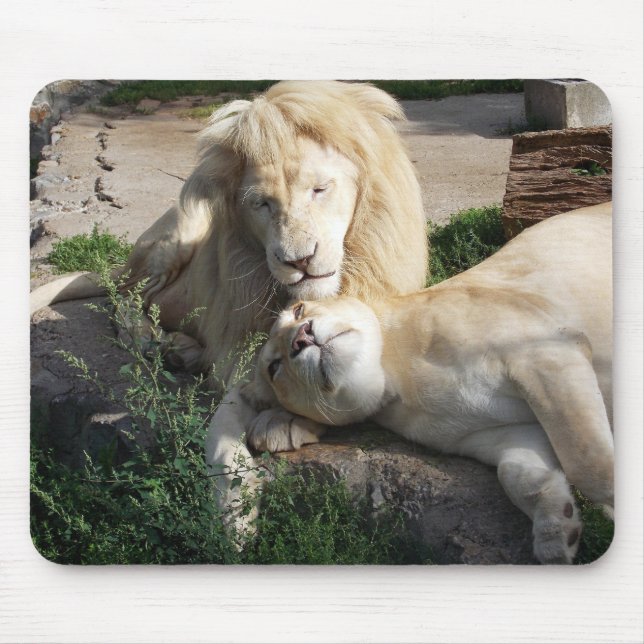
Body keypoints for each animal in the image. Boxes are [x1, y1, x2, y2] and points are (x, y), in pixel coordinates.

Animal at [30, 81, 428, 375]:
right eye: (261, 204)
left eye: (319, 189)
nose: (298, 262)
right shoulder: (237, 349)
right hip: (179, 232)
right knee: (124, 300)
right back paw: (158, 342)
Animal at [206, 203, 613, 563]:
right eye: (274, 367)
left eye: (300, 310)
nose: (301, 338)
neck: (399, 381)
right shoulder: (509, 431)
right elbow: (519, 474)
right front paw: (558, 531)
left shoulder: (545, 351)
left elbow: (589, 464)